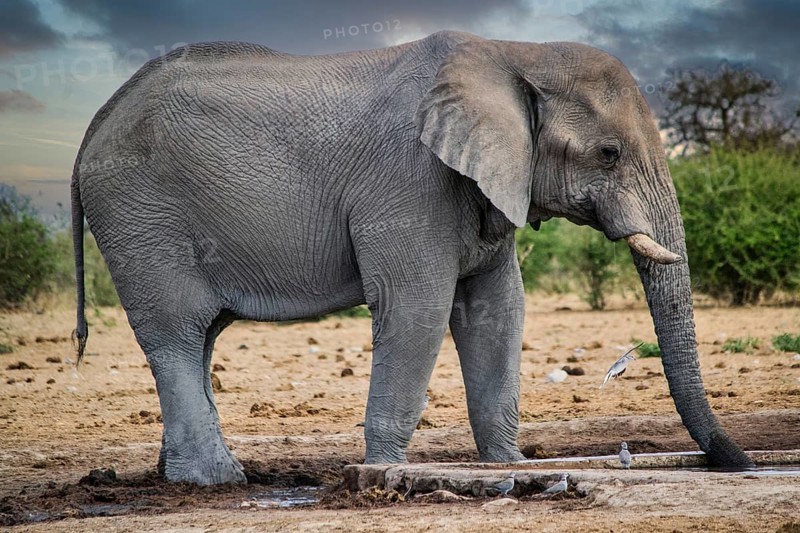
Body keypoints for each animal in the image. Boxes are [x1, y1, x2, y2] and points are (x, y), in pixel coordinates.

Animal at [71, 30, 752, 485]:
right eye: (609, 154)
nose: (738, 461)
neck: (517, 54)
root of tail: (93, 127)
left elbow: (498, 311)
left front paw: (506, 465)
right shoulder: (409, 181)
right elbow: (417, 309)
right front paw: (382, 473)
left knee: (202, 335)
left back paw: (178, 475)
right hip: (141, 217)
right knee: (178, 332)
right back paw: (215, 481)